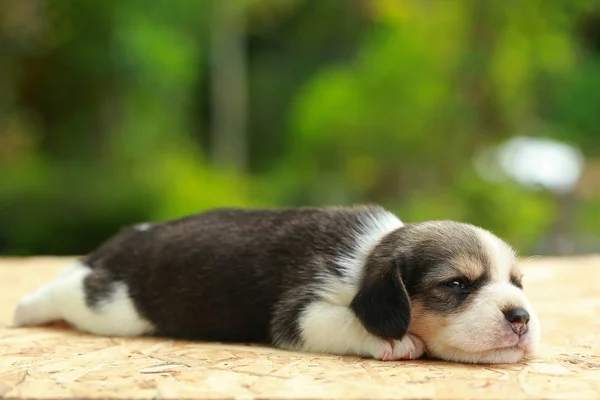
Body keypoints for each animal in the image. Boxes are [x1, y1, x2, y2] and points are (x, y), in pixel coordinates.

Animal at [12, 205, 540, 364]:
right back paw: (24, 308)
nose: (521, 317)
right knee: (66, 289)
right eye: (457, 283)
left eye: (517, 282)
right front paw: (393, 341)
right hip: (112, 309)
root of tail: (122, 241)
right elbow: (348, 321)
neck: (368, 254)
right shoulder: (302, 313)